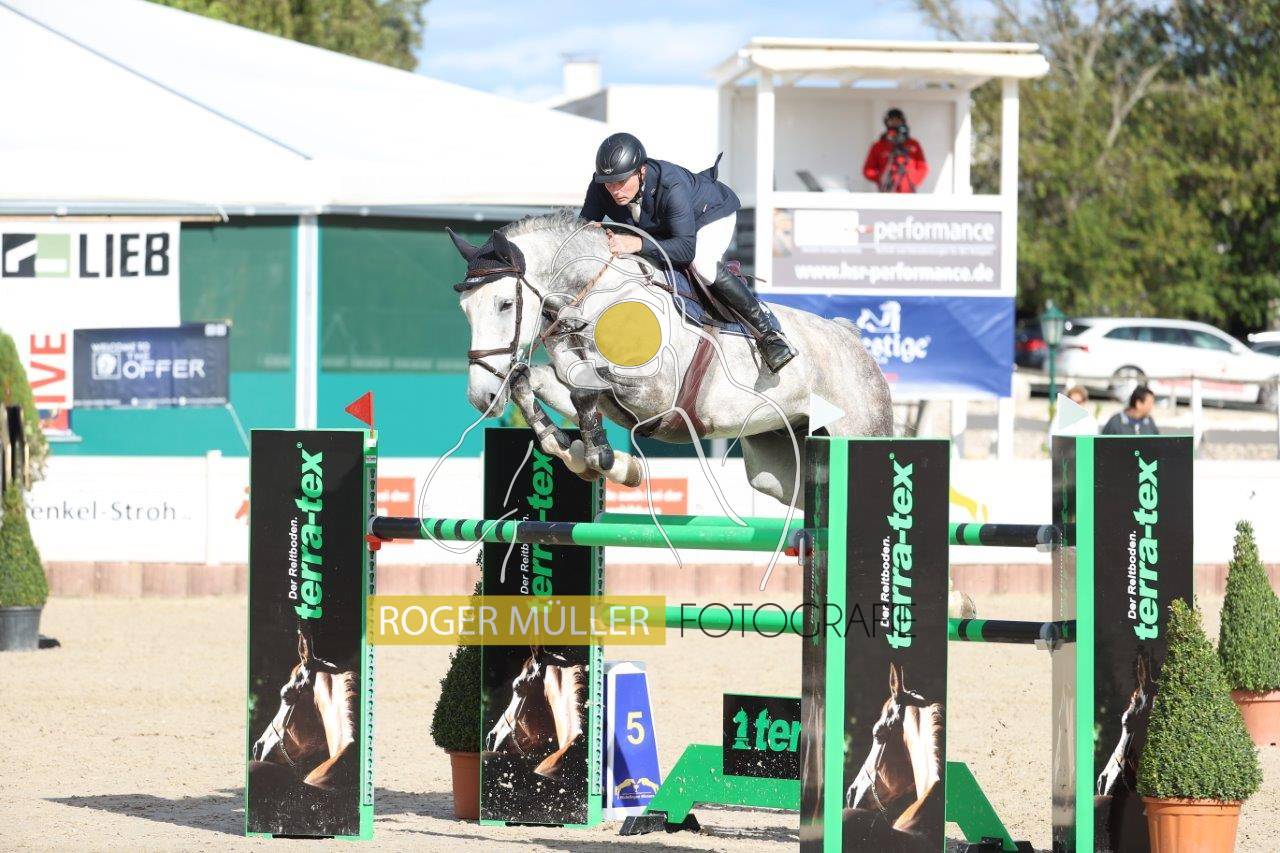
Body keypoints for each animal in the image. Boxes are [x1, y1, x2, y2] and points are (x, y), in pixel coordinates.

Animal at [447, 209, 893, 510]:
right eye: (464, 310)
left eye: (505, 304)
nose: (481, 398)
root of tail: (854, 341)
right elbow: (533, 381)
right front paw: (583, 454)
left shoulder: (654, 393)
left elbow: (583, 391)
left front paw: (603, 459)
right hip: (777, 466)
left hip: (859, 428)